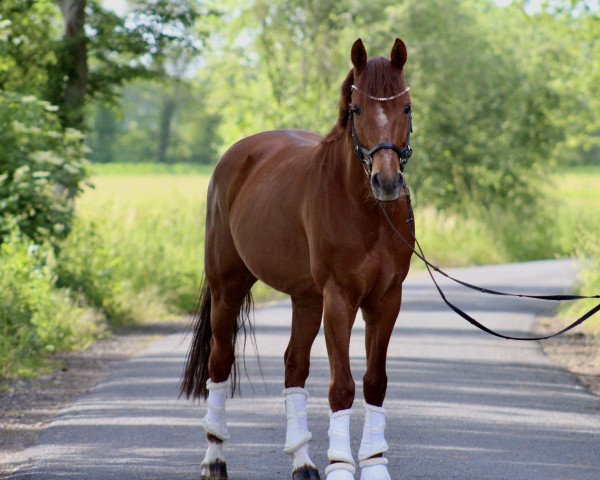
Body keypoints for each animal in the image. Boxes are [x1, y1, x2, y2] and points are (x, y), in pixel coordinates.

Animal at [180, 38, 414, 480]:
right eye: (357, 109)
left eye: (406, 107)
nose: (387, 181)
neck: (367, 210)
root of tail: (236, 155)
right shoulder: (339, 298)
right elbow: (342, 387)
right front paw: (340, 466)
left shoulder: (386, 299)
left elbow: (375, 382)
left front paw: (375, 466)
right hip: (228, 288)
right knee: (219, 363)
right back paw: (214, 458)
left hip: (306, 298)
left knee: (294, 365)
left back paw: (302, 463)